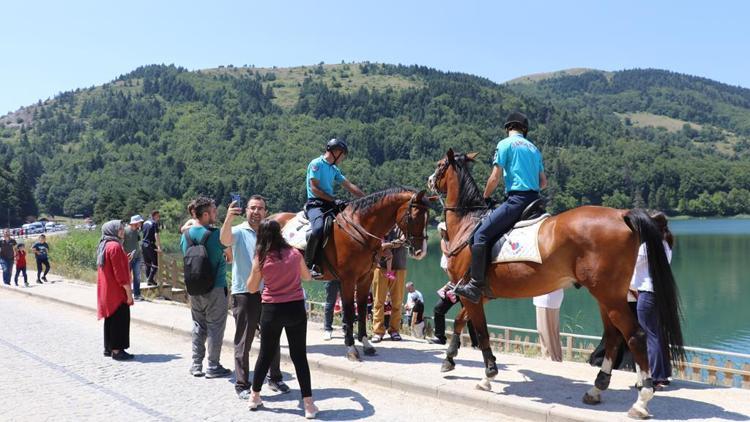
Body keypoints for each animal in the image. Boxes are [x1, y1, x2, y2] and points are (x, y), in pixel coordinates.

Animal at [274, 189, 432, 362]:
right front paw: (351, 348)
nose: (421, 252)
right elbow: (349, 311)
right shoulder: (348, 280)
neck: (360, 230)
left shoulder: (365, 278)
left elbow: (362, 310)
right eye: (414, 217)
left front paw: (366, 344)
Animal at [426, 150, 684, 420]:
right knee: (614, 336)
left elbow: (482, 332)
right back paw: (596, 388)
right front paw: (449, 358)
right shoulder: (479, 295)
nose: (429, 181)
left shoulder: (469, 292)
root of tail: (621, 214)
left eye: (440, 165)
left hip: (609, 295)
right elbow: (460, 321)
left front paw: (488, 375)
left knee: (634, 335)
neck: (468, 224)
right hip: (607, 296)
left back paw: (641, 401)